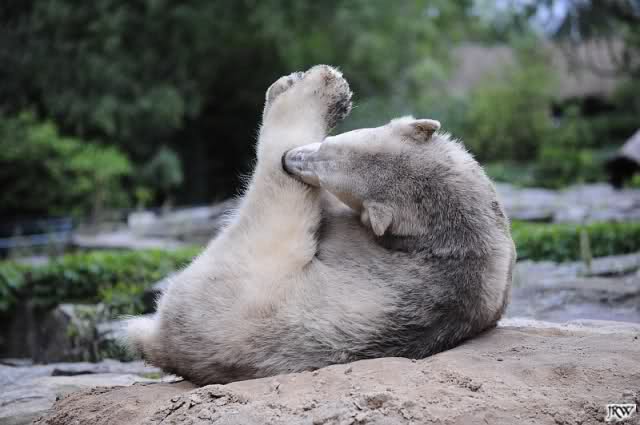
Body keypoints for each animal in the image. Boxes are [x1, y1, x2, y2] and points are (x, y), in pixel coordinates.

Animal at [124, 65, 515, 386]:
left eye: (327, 168)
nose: (290, 160)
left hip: (243, 283)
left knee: (275, 207)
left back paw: (314, 90)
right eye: (329, 147)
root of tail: (162, 344)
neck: (458, 234)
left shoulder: (358, 242)